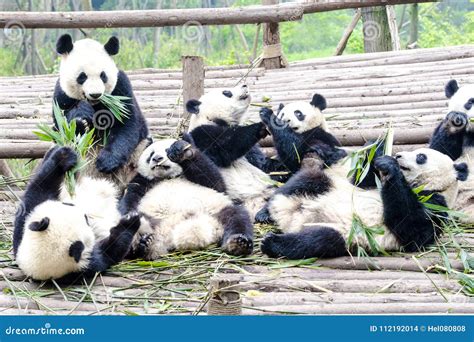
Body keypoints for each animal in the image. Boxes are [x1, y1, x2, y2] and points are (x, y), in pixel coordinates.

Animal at [12, 146, 139, 282]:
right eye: (86, 221)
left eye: (68, 204)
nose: (86, 213)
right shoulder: (86, 266)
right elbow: (110, 253)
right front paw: (129, 222)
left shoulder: (22, 231)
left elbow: (39, 190)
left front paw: (63, 157)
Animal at [52, 34, 149, 188]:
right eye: (82, 76)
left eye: (103, 75)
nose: (95, 94)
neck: (95, 104)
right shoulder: (61, 95)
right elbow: (61, 128)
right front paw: (80, 121)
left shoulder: (121, 89)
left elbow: (128, 124)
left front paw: (106, 161)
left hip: (139, 154)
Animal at [118, 136, 254, 260]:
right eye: (151, 154)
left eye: (166, 150)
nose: (157, 158)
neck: (167, 177)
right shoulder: (142, 181)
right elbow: (130, 199)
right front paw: (129, 214)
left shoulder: (206, 181)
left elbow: (215, 181)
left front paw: (182, 152)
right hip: (151, 217)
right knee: (131, 226)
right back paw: (141, 243)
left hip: (217, 211)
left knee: (237, 217)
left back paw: (238, 243)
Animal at [262, 146, 468, 258]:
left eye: (421, 157)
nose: (398, 155)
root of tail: (291, 217)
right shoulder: (365, 184)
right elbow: (361, 178)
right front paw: (378, 155)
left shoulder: (437, 204)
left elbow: (411, 226)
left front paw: (389, 167)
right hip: (328, 185)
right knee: (305, 181)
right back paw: (266, 212)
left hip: (346, 234)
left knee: (315, 241)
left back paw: (272, 242)